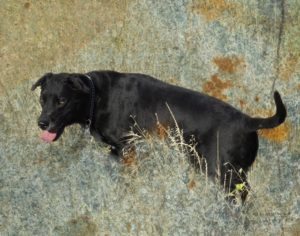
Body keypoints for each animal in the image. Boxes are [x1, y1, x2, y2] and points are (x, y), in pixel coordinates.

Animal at [31, 71, 288, 202]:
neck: (95, 96)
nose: (42, 122)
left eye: (61, 101)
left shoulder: (128, 149)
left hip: (226, 172)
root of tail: (248, 122)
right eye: (43, 99)